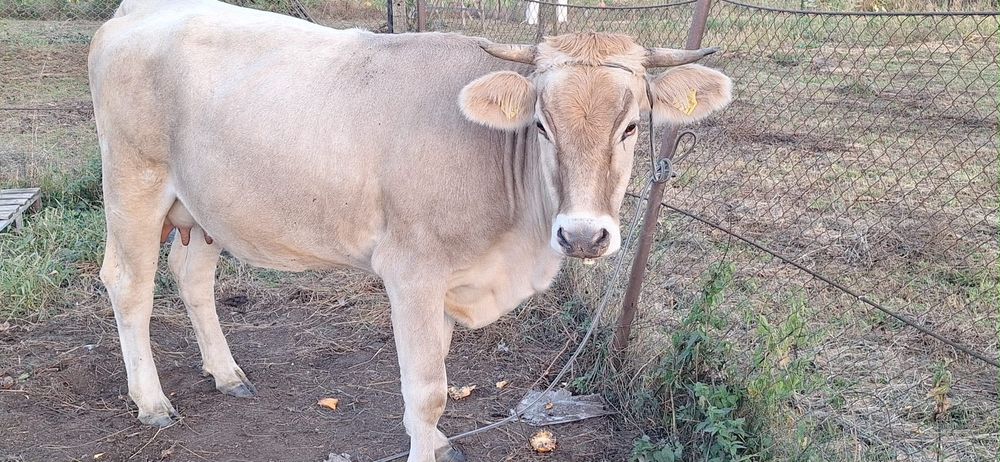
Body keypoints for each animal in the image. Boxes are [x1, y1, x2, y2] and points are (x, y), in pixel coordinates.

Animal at [88, 0, 732, 460]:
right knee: (128, 284)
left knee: (191, 278)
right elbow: (428, 386)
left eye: (631, 126)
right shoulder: (413, 272)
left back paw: (226, 374)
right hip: (133, 181)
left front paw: (439, 443)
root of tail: (135, 11)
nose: (581, 235)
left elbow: (436, 371)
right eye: (542, 124)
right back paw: (152, 401)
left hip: (206, 209)